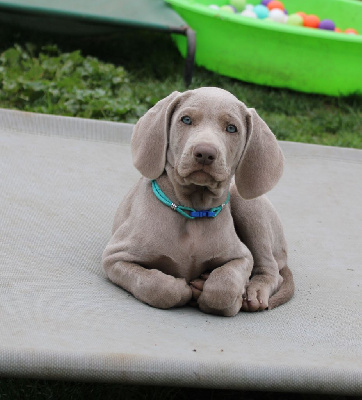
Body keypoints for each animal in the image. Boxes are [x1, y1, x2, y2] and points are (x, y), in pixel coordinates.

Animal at [102, 86, 294, 316]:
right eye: (186, 119)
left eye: (231, 128)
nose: (205, 153)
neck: (192, 210)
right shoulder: (115, 257)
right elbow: (154, 285)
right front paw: (180, 288)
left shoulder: (242, 257)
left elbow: (225, 284)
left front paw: (222, 295)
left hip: (247, 204)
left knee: (272, 271)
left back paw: (253, 292)